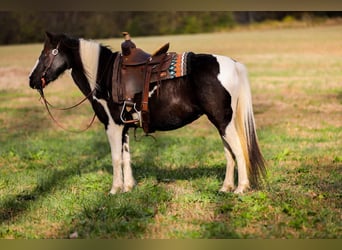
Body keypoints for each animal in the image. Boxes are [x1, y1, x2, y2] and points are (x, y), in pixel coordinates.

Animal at [28, 32, 266, 194]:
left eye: (46, 54)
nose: (31, 80)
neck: (103, 74)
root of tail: (233, 64)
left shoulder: (112, 125)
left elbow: (116, 157)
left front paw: (114, 190)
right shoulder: (124, 126)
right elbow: (126, 156)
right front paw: (128, 187)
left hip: (223, 121)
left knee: (239, 150)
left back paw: (241, 188)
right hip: (221, 122)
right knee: (229, 153)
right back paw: (226, 187)